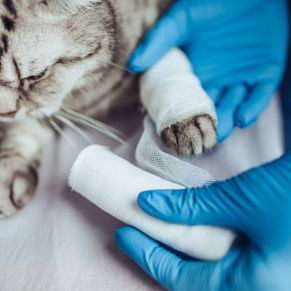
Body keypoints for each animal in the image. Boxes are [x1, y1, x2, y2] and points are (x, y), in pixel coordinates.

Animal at [0, 0, 217, 219]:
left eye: (36, 76)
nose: (5, 113)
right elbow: (25, 126)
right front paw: (7, 172)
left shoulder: (154, 34)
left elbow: (160, 61)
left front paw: (186, 120)